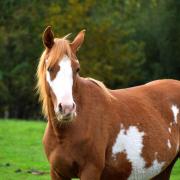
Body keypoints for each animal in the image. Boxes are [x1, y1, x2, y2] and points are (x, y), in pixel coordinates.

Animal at [36, 26, 179, 179]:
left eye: (77, 69)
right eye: (50, 68)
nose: (67, 108)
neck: (64, 134)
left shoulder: (91, 171)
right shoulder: (57, 173)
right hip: (163, 169)